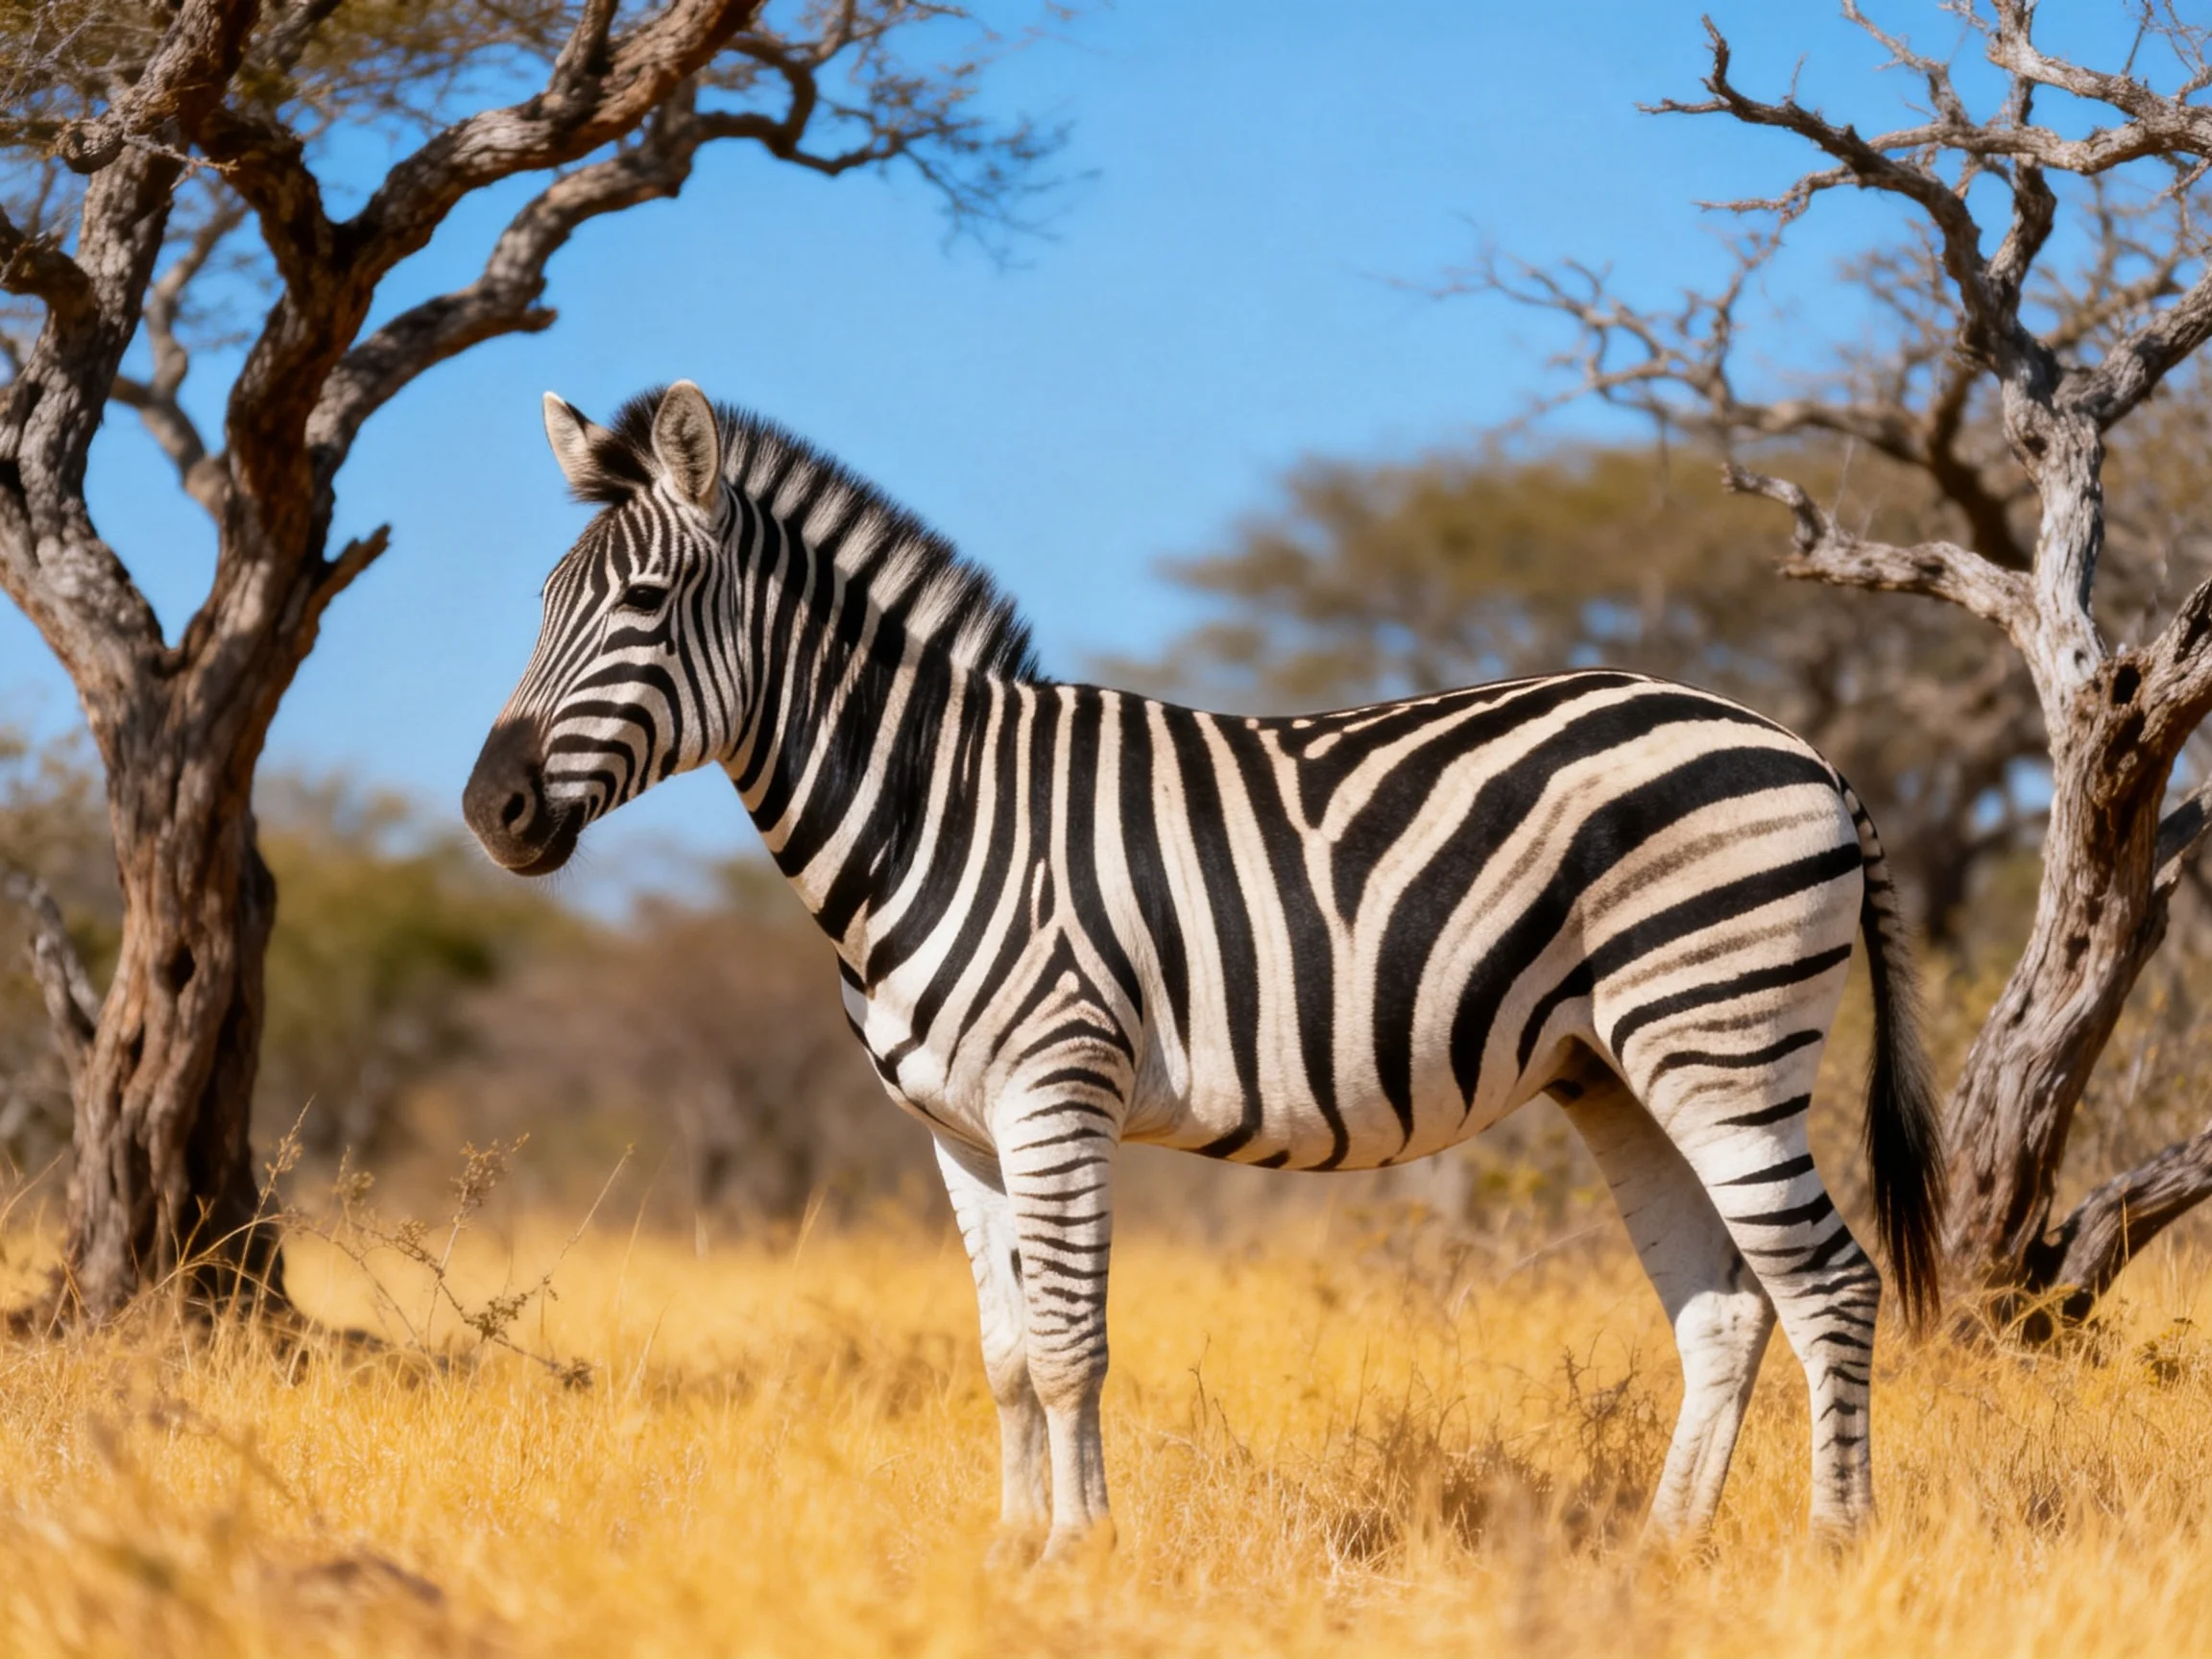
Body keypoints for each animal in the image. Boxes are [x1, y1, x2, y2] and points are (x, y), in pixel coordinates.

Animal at [464, 380, 1945, 1558]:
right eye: (538, 606)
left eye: (646, 604)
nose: (493, 812)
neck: (930, 810)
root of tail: (1803, 750)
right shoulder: (957, 1131)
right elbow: (1006, 1358)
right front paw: (1010, 1554)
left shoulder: (1057, 1093)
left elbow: (1072, 1348)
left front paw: (1081, 1554)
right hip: (1617, 1070)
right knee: (1724, 1308)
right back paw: (1663, 1555)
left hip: (1721, 1039)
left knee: (1829, 1283)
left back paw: (1835, 1549)